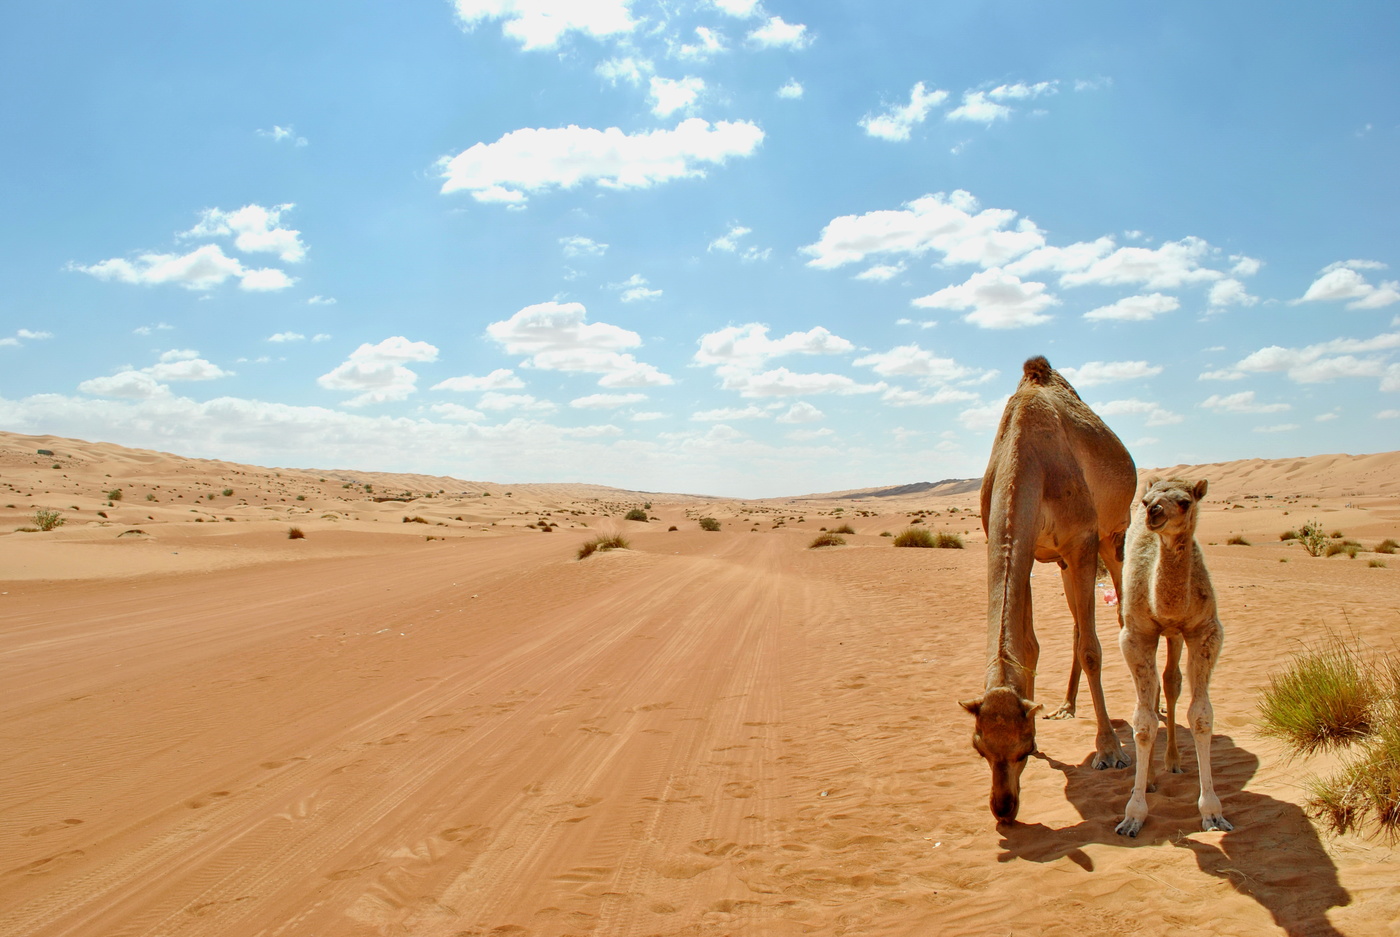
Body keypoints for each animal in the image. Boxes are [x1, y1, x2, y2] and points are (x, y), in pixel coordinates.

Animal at [963, 354, 1136, 823]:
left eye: (1021, 752)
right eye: (979, 748)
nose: (1003, 808)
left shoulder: (1082, 541)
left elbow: (1093, 649)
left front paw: (1109, 750)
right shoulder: (1022, 549)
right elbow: (1030, 644)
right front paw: (1041, 711)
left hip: (1114, 536)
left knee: (1119, 617)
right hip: (1060, 562)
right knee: (1078, 621)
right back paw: (1067, 706)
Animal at [1108, 479, 1232, 834]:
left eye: (1185, 501)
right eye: (1145, 500)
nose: (1154, 511)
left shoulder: (1205, 631)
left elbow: (1201, 716)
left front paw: (1212, 812)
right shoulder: (1136, 636)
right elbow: (1144, 722)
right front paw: (1133, 815)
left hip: (1175, 635)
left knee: (1172, 683)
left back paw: (1173, 762)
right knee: (1152, 698)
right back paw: (1149, 778)